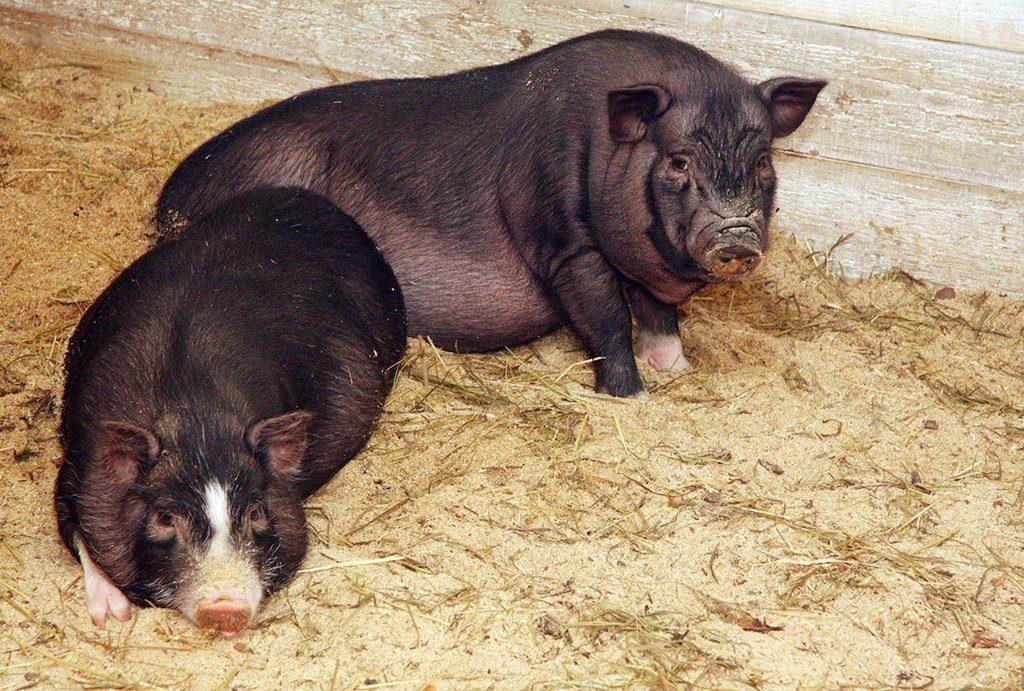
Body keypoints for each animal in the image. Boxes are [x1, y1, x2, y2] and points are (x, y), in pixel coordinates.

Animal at [55, 187, 406, 635]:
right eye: (166, 518)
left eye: (256, 512)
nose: (225, 606)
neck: (194, 417)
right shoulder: (78, 473)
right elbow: (78, 533)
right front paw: (112, 616)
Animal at [156, 29, 825, 397]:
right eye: (679, 160)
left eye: (763, 161)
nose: (735, 236)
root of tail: (170, 196)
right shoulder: (560, 237)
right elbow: (607, 318)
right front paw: (632, 399)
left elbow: (658, 314)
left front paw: (678, 372)